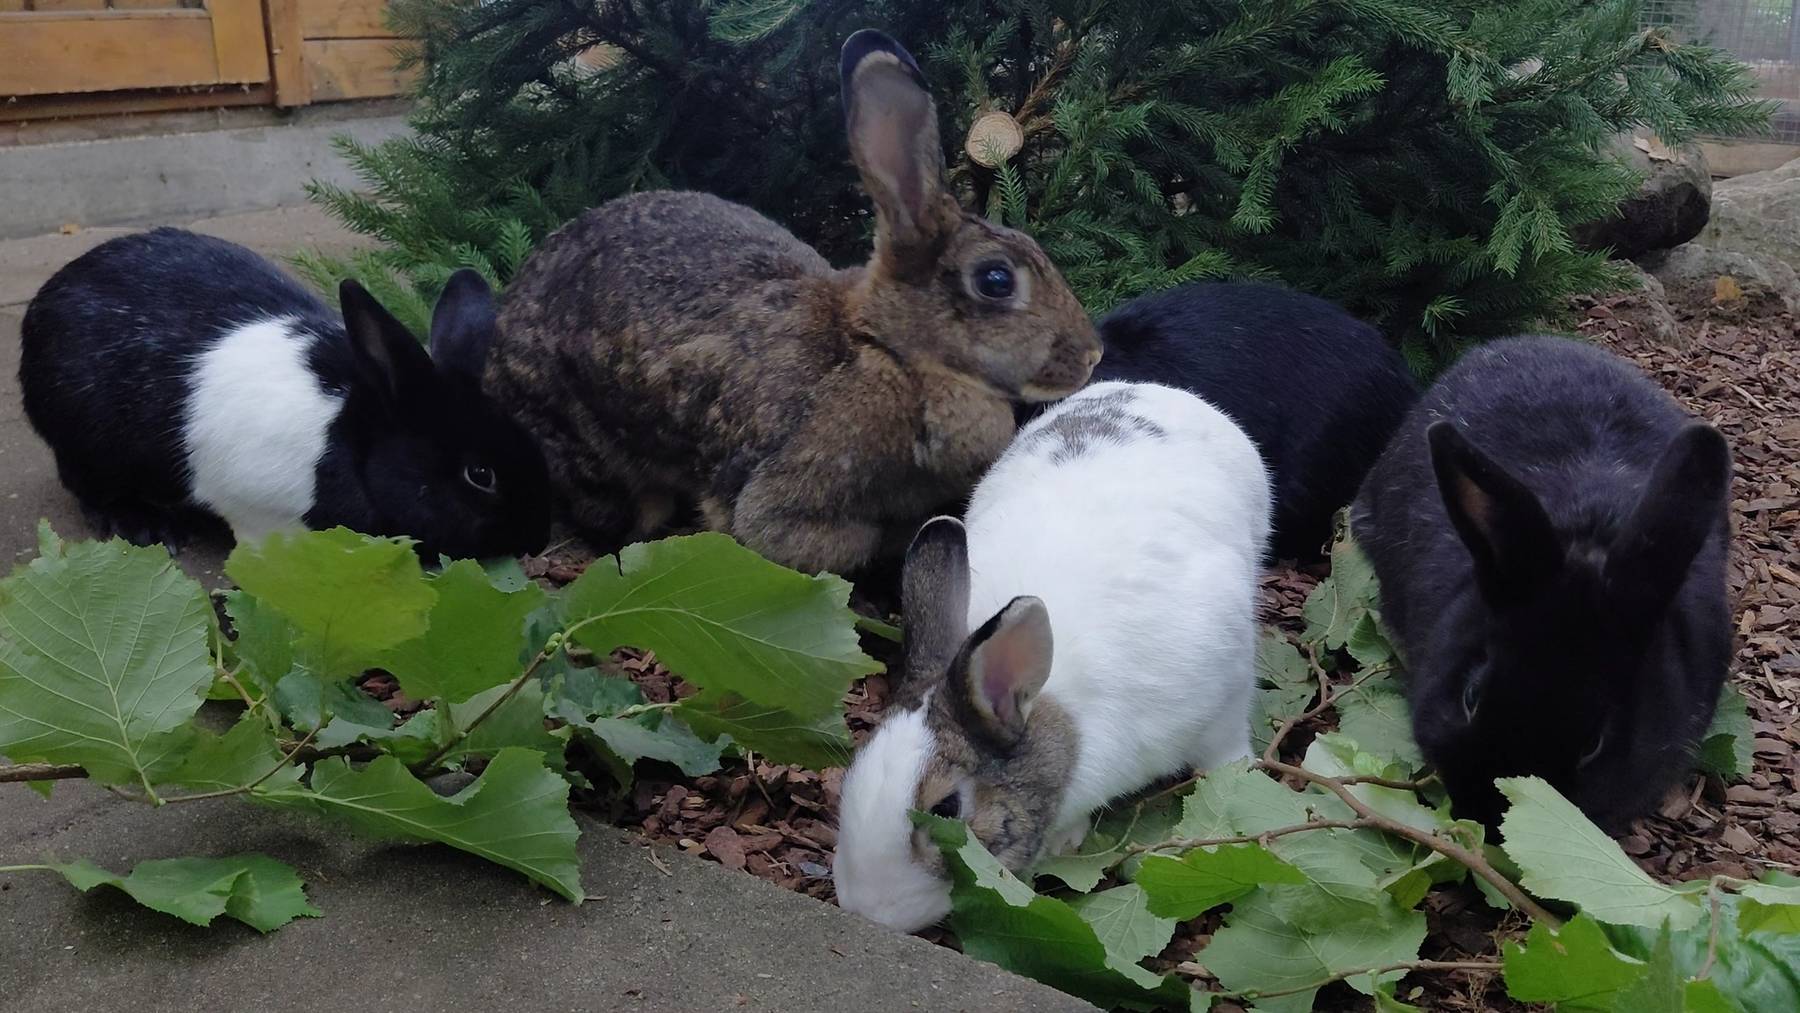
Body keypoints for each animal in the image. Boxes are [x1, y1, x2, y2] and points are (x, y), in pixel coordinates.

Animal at [19, 227, 552, 560]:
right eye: (479, 475)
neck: (352, 439)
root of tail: (48, 297)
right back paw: (146, 526)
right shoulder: (259, 512)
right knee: (88, 487)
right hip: (90, 443)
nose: (537, 540)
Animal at [834, 381, 1270, 932]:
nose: (866, 911)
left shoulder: (1224, 694)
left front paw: (1241, 779)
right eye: (855, 766)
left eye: (947, 809)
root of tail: (1151, 390)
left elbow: (1225, 751)